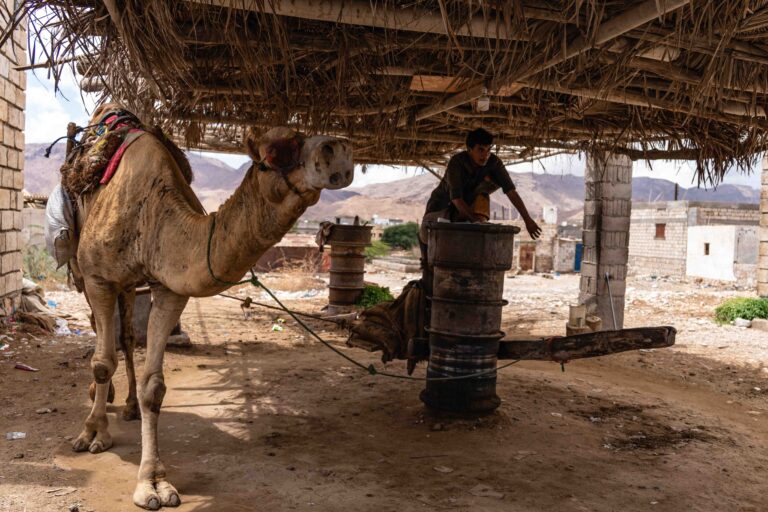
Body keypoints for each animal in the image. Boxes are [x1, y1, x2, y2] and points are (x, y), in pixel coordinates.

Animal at [69, 104, 354, 510]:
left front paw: (153, 482)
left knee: (125, 337)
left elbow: (154, 386)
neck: (151, 216)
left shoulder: (170, 287)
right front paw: (92, 433)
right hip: (85, 272)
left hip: (126, 285)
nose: (339, 149)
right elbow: (101, 362)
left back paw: (126, 406)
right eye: (276, 152)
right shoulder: (97, 278)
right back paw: (100, 400)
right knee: (102, 336)